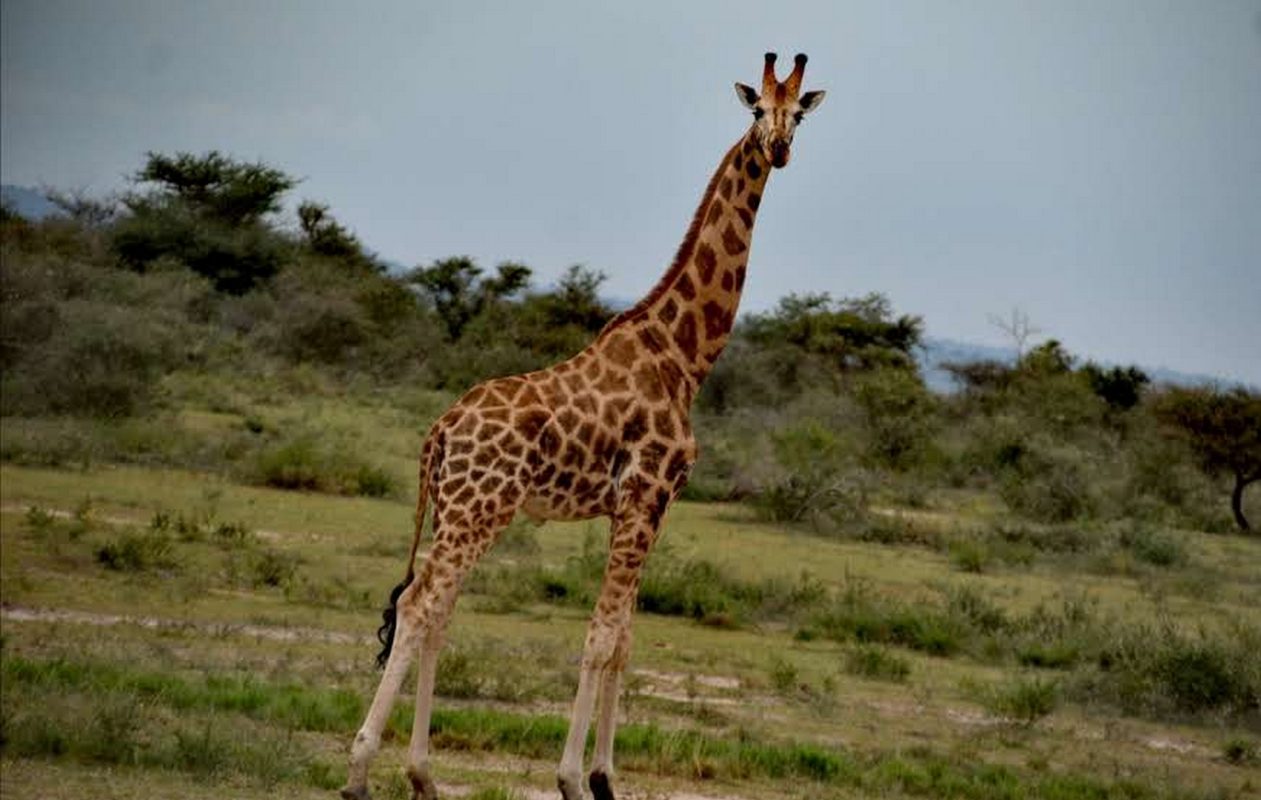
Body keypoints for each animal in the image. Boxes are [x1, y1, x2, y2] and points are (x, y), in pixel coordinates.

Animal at [340, 51, 822, 797]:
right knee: (419, 605)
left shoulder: (652, 505)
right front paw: (574, 777)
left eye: (798, 112)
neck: (683, 356)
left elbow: (624, 638)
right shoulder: (645, 495)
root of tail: (439, 432)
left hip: (465, 511)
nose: (777, 147)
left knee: (436, 610)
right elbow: (600, 637)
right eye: (754, 109)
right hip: (477, 511)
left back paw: (422, 775)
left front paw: (604, 776)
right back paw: (361, 771)